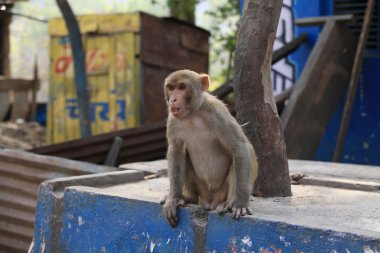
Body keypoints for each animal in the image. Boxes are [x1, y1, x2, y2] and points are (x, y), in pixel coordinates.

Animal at [160, 69, 258, 227]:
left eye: (181, 87)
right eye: (171, 88)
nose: (173, 99)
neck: (193, 115)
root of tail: (209, 201)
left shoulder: (218, 113)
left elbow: (240, 148)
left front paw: (241, 203)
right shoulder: (172, 120)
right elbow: (176, 151)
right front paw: (173, 199)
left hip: (221, 192)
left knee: (239, 156)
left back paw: (228, 203)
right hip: (201, 190)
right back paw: (187, 198)